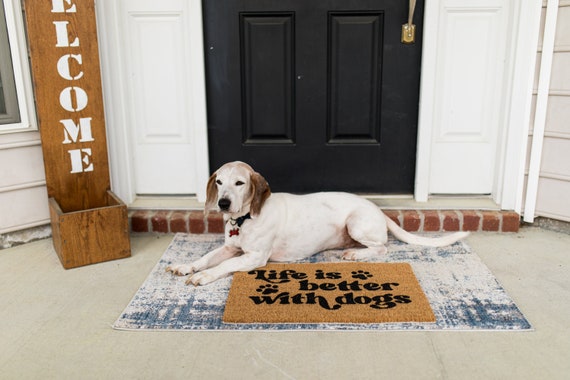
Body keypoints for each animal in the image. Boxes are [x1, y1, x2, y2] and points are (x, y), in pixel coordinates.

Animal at [164, 160, 466, 284]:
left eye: (239, 183)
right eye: (219, 182)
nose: (223, 203)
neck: (245, 219)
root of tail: (378, 210)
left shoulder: (254, 257)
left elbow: (223, 266)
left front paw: (203, 276)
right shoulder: (230, 247)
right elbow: (206, 257)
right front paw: (187, 267)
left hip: (356, 222)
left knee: (381, 248)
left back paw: (355, 254)